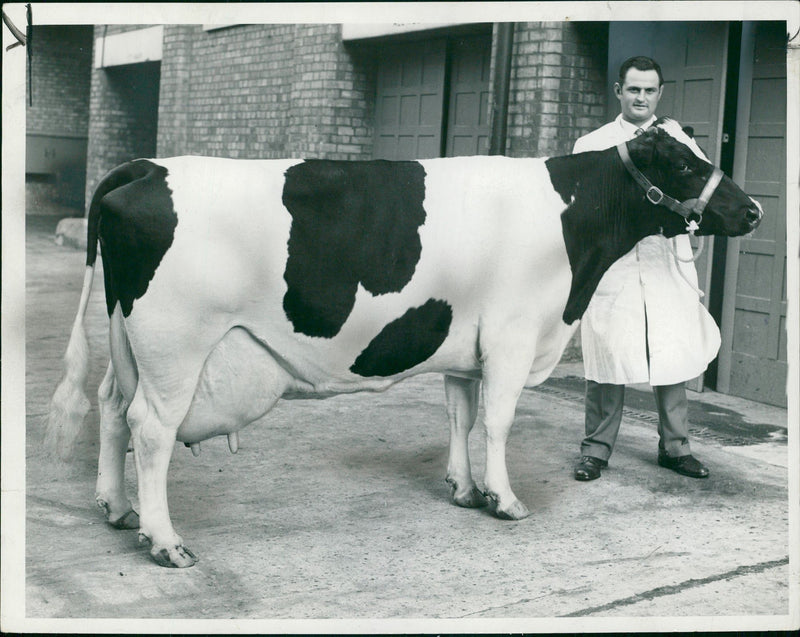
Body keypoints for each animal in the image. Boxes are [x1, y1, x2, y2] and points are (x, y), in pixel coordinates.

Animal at [45, 118, 764, 568]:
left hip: (130, 338)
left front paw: (465, 488)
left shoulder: (469, 346)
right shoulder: (512, 334)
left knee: (111, 405)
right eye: (681, 161)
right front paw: (505, 500)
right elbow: (498, 422)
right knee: (151, 429)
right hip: (176, 347)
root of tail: (149, 164)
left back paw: (116, 508)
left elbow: (461, 414)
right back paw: (165, 541)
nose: (753, 210)